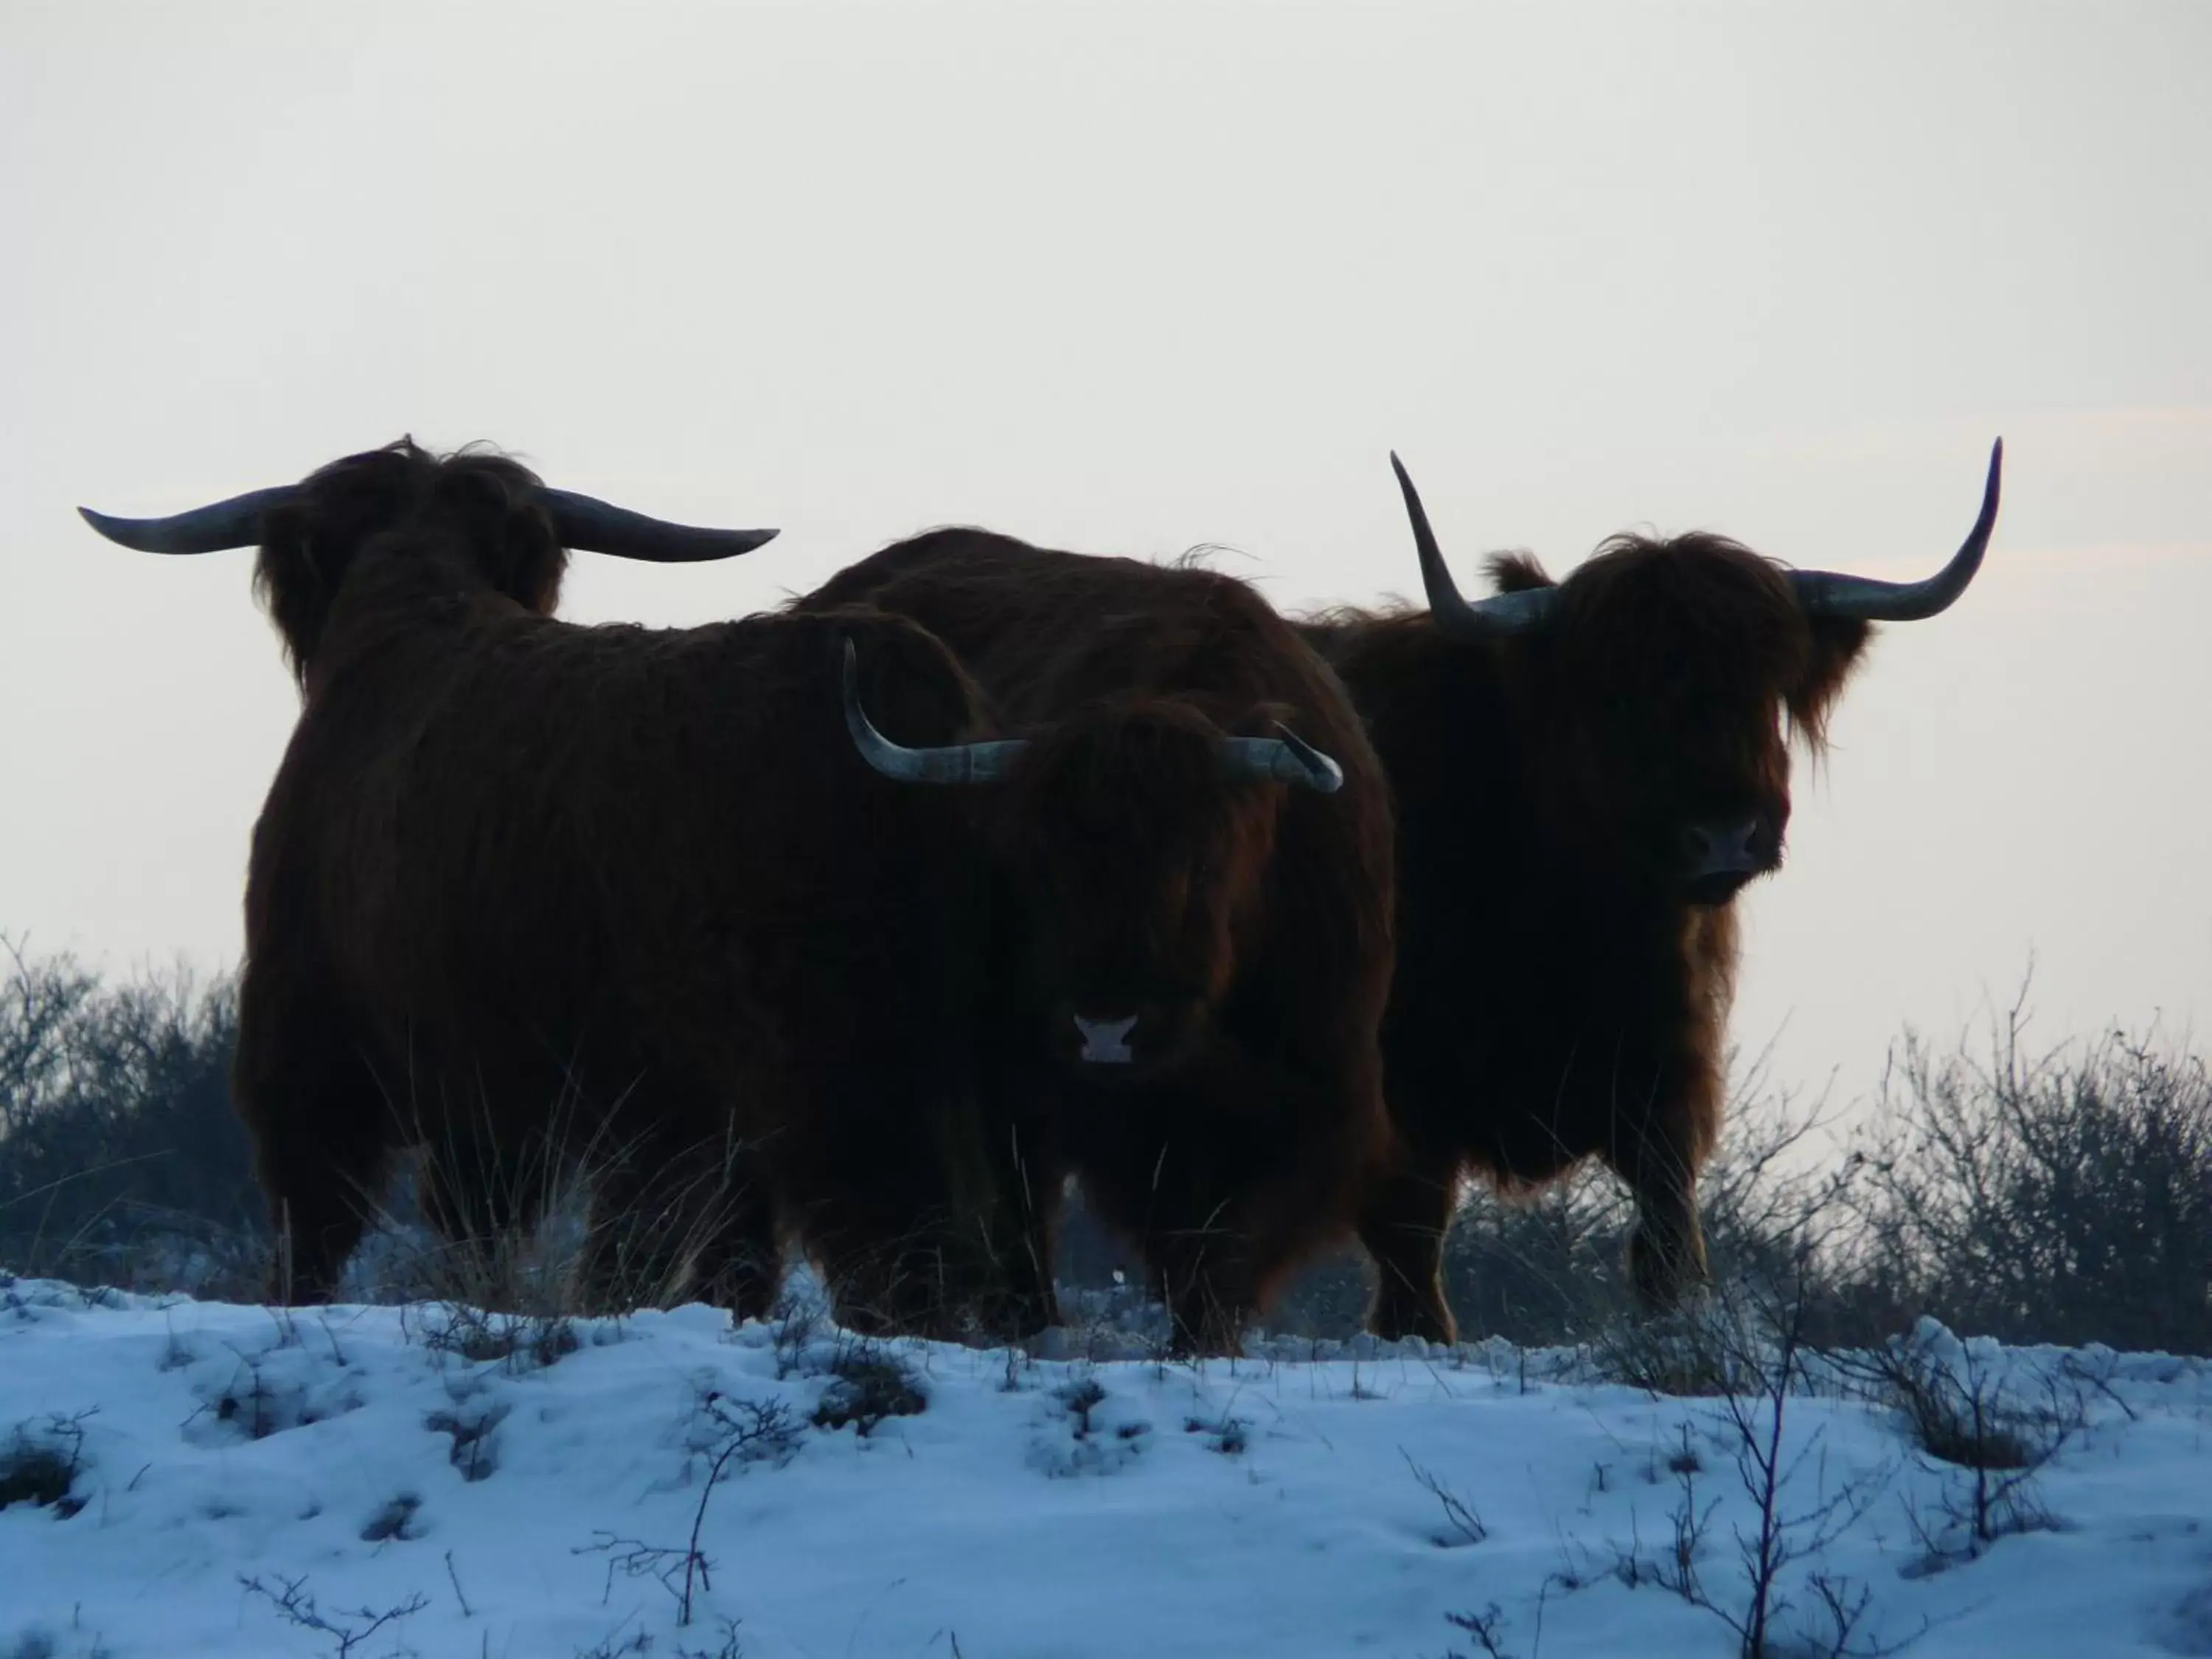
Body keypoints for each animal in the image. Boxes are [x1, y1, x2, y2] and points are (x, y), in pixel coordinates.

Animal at [80, 442, 1053, 1336]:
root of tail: (900, 678)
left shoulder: (325, 1045)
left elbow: (331, 1226)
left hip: (827, 1059)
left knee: (888, 1234)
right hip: (983, 1058)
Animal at [796, 540, 1389, 1354]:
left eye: (1200, 866)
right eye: (1036, 869)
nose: (1107, 1030)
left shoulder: (1312, 1090)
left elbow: (1230, 1239)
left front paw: (1204, 1340)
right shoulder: (1018, 1083)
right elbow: (1022, 1212)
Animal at [1301, 445, 2017, 1354]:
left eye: (1765, 684)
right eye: (1620, 693)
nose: (1726, 834)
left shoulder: (1666, 1071)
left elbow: (1670, 1229)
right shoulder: (1406, 1088)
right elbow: (1411, 1245)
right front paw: (1419, 1335)